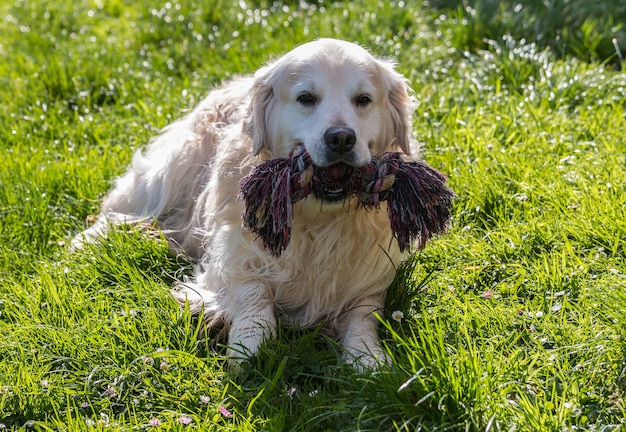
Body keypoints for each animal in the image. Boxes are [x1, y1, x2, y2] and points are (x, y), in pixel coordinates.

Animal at [72, 38, 420, 370]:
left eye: (363, 99)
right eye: (306, 98)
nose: (341, 138)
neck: (320, 224)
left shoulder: (370, 277)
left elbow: (364, 315)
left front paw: (367, 356)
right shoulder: (233, 254)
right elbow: (253, 289)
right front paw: (249, 343)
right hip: (174, 168)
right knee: (125, 207)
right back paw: (89, 240)